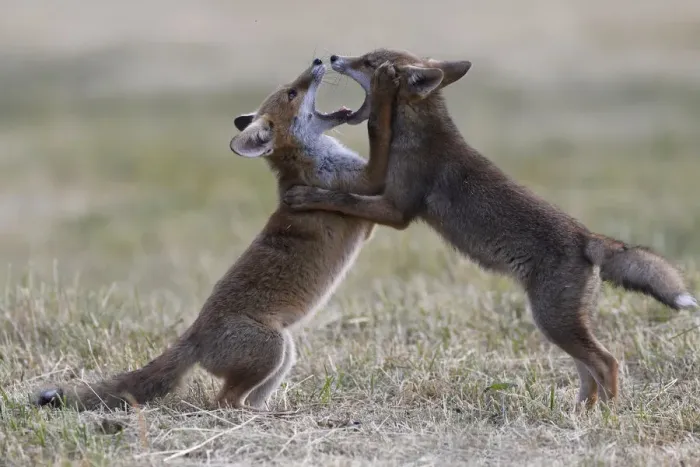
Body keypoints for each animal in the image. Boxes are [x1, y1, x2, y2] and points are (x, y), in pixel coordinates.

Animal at [34, 58, 395, 411]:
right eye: (292, 93)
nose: (319, 60)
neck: (308, 161)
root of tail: (195, 333)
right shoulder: (363, 186)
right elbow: (381, 152)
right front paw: (387, 91)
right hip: (273, 349)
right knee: (224, 401)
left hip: (284, 354)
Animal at [283, 48, 699, 408]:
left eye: (369, 62)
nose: (334, 56)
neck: (418, 133)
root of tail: (587, 238)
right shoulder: (384, 193)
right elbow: (346, 191)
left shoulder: (396, 209)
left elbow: (342, 198)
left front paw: (305, 195)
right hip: (561, 325)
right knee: (588, 372)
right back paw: (581, 413)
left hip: (553, 322)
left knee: (607, 363)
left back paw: (608, 416)